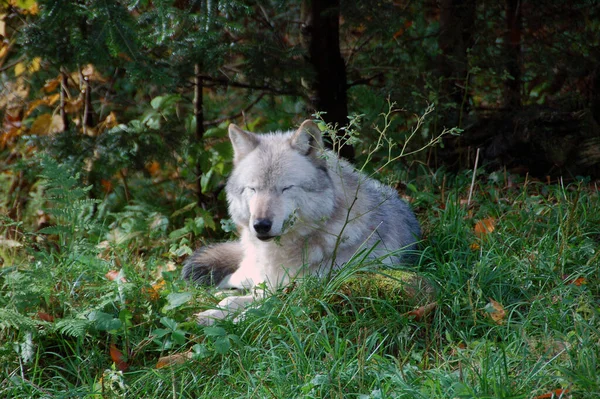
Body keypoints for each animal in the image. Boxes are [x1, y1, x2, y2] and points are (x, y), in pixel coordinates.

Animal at [180, 119, 420, 324]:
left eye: (286, 188)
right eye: (253, 189)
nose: (261, 225)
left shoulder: (307, 292)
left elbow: (261, 307)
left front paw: (238, 319)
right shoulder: (271, 286)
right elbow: (233, 302)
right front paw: (211, 314)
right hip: (247, 273)